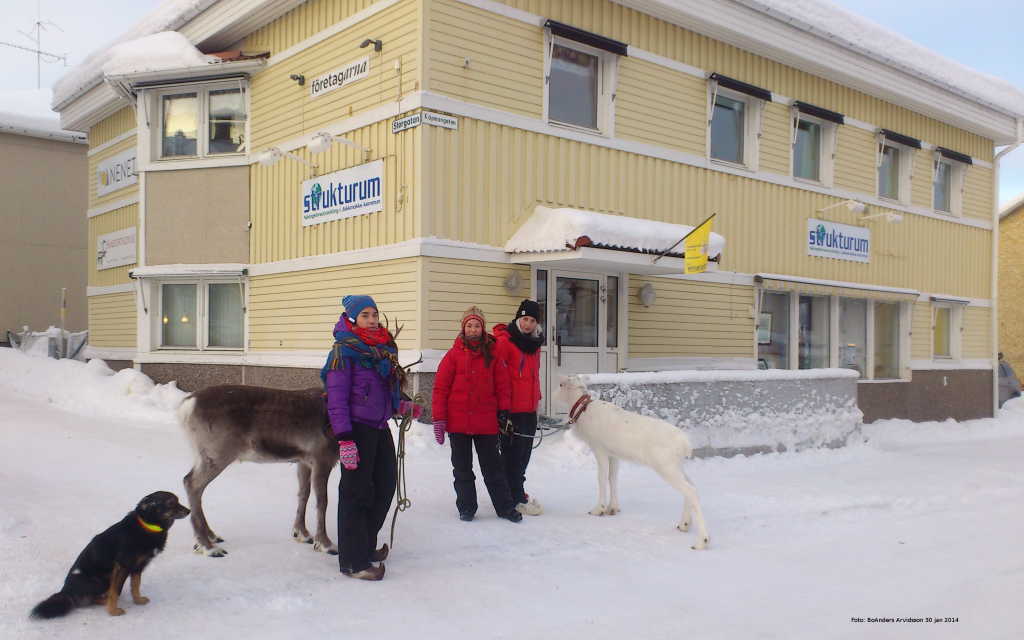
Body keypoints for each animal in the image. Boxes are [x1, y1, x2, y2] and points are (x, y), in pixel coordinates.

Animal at [30, 491, 191, 618]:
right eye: (171, 503)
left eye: (178, 501)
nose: (189, 511)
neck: (148, 526)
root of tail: (66, 591)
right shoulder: (123, 567)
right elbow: (116, 592)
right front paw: (113, 611)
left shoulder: (138, 567)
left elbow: (135, 585)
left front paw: (138, 600)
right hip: (105, 580)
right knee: (91, 599)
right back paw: (104, 600)